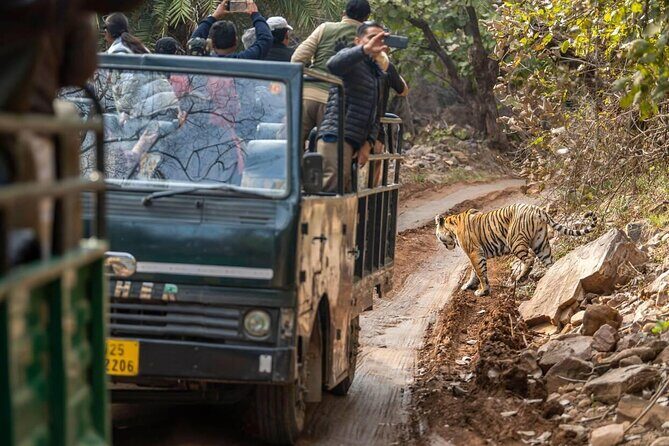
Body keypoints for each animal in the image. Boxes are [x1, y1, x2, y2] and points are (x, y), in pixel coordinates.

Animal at [435, 203, 597, 297]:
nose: (445, 245)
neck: (452, 227)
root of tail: (538, 210)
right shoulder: (477, 253)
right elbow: (474, 272)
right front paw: (468, 285)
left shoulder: (474, 253)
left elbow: (480, 272)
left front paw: (483, 291)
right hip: (540, 244)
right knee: (550, 262)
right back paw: (551, 275)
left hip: (515, 241)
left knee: (529, 259)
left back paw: (520, 278)